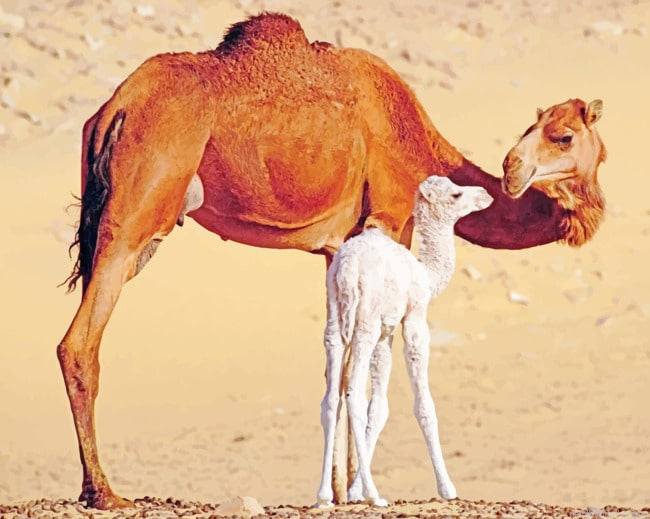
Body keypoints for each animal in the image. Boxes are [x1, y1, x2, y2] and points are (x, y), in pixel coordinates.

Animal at [317, 177, 493, 507]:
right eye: (456, 194)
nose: (486, 195)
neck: (425, 273)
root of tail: (348, 268)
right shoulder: (413, 318)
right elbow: (424, 405)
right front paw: (447, 488)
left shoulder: (385, 333)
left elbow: (379, 408)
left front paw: (354, 491)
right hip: (365, 322)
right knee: (353, 394)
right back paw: (376, 496)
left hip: (335, 319)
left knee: (331, 398)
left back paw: (323, 495)